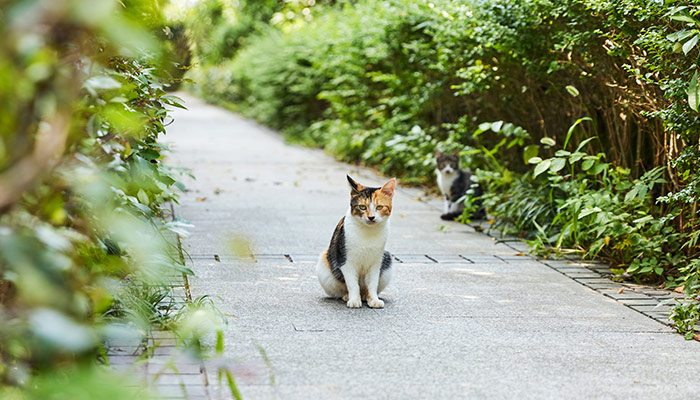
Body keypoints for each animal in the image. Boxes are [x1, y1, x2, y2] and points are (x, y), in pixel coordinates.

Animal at [316, 175, 394, 310]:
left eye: (379, 207)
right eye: (362, 207)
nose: (371, 217)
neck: (368, 232)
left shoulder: (376, 263)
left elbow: (372, 283)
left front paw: (374, 300)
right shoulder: (346, 261)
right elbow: (352, 283)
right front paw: (354, 300)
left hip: (387, 259)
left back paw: (365, 296)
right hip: (324, 266)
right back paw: (347, 296)